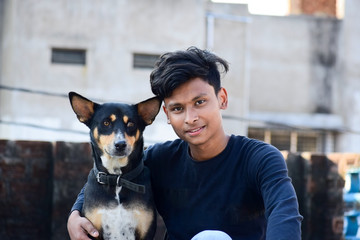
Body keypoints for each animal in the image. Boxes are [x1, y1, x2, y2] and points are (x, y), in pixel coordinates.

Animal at [69, 91, 162, 239]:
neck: (117, 178)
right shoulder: (93, 230)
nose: (120, 144)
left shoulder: (145, 231)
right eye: (106, 122)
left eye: (131, 123)